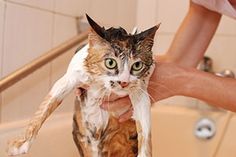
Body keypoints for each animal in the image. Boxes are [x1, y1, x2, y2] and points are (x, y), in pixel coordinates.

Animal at [7, 14, 159, 157]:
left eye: (137, 65)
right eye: (110, 63)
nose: (124, 82)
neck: (101, 85)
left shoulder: (140, 91)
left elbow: (145, 131)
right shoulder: (72, 76)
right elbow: (44, 108)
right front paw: (21, 143)